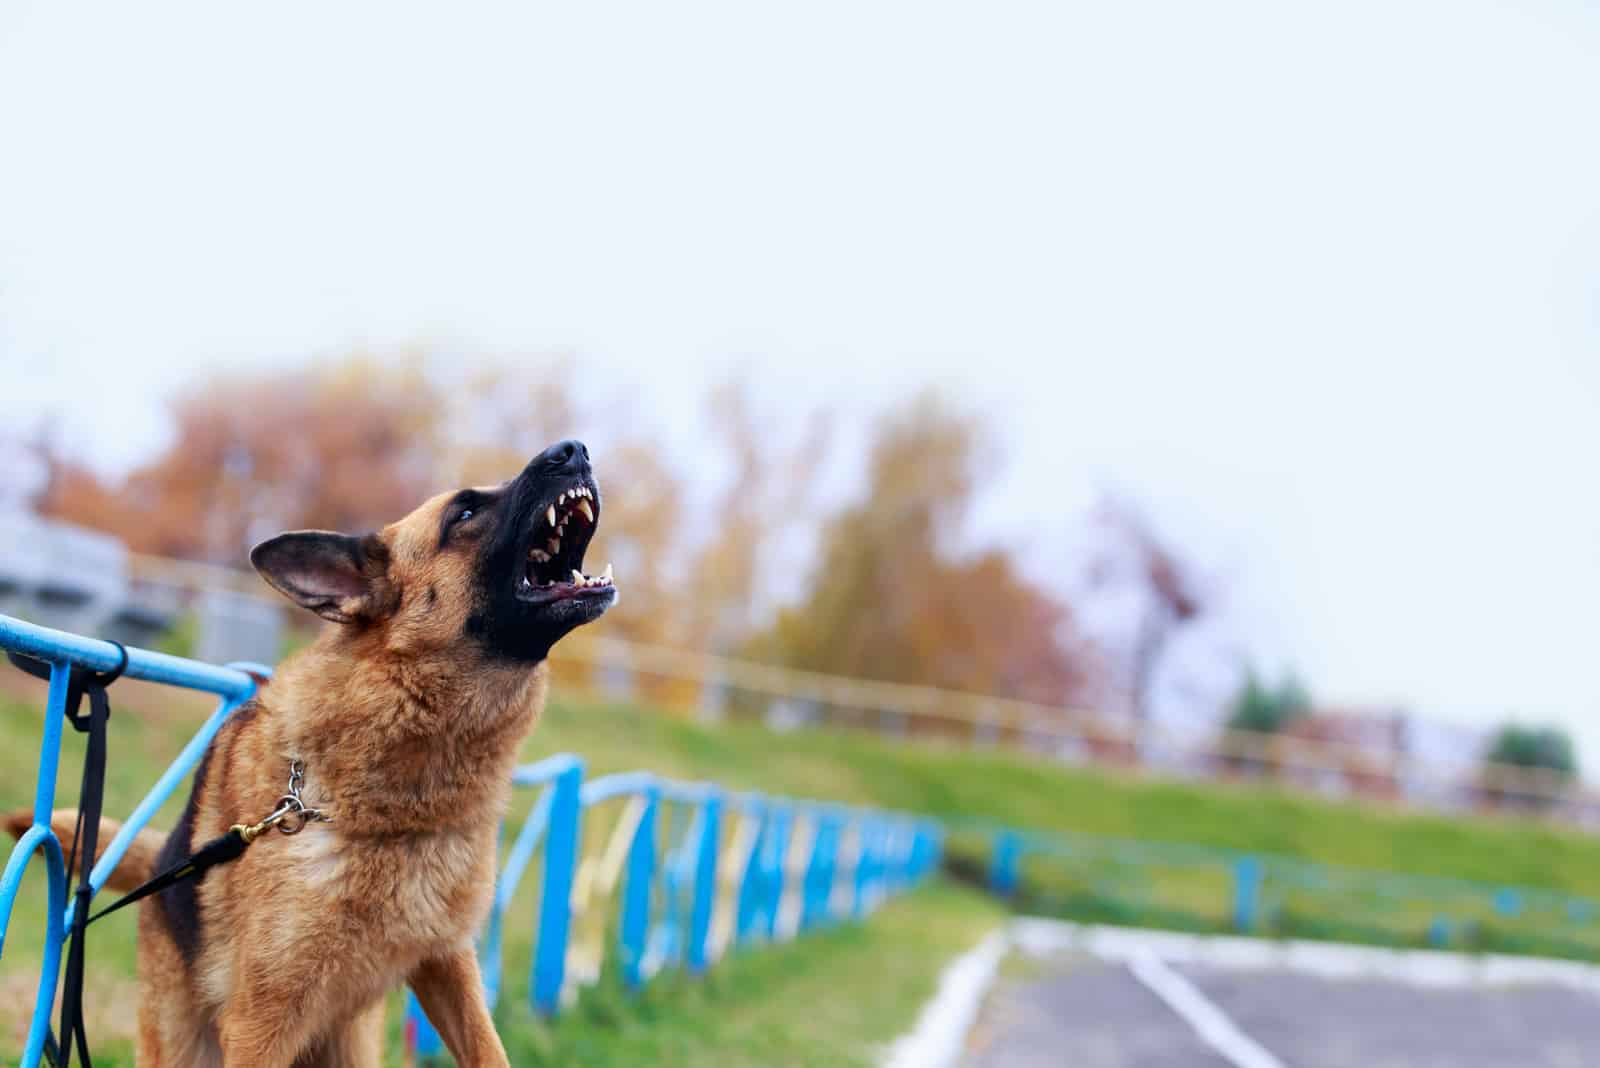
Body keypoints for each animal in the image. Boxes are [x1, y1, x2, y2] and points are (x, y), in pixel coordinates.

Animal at [6, 438, 614, 1061]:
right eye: (463, 513)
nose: (574, 449)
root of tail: (161, 863)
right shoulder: (259, 1025)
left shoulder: (447, 965)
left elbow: (489, 1049)